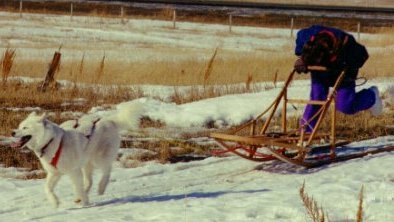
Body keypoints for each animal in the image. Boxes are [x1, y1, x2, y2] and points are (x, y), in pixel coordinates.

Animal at [11, 103, 142, 207]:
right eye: (19, 126)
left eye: (25, 127)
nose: (12, 132)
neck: (51, 142)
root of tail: (109, 120)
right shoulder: (55, 173)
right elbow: (47, 188)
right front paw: (55, 202)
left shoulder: (74, 171)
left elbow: (77, 187)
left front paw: (85, 202)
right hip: (86, 163)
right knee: (89, 181)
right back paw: (82, 196)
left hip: (99, 158)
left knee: (107, 171)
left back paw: (101, 188)